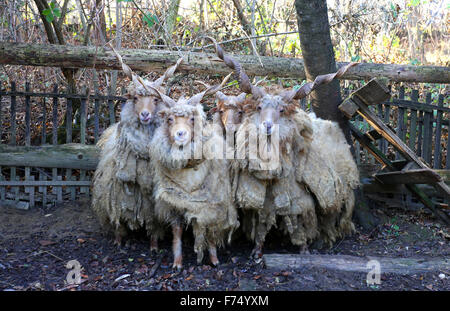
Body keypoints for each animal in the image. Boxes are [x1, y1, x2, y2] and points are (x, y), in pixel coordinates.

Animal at [91, 46, 183, 251]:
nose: (145, 115)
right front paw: (118, 241)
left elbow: (154, 225)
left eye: (156, 99)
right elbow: (118, 220)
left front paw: (154, 246)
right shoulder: (115, 198)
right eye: (135, 98)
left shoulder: (154, 206)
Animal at [147, 73, 239, 270]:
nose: (180, 134)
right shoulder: (173, 203)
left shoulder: (213, 205)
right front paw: (177, 262)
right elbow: (177, 232)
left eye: (192, 119)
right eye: (169, 119)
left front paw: (214, 259)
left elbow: (210, 232)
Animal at [214, 39, 358, 258]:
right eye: (259, 108)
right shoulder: (266, 202)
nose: (267, 126)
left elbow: (299, 226)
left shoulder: (299, 200)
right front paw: (257, 250)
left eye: (281, 110)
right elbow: (262, 225)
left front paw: (304, 249)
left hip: (345, 187)